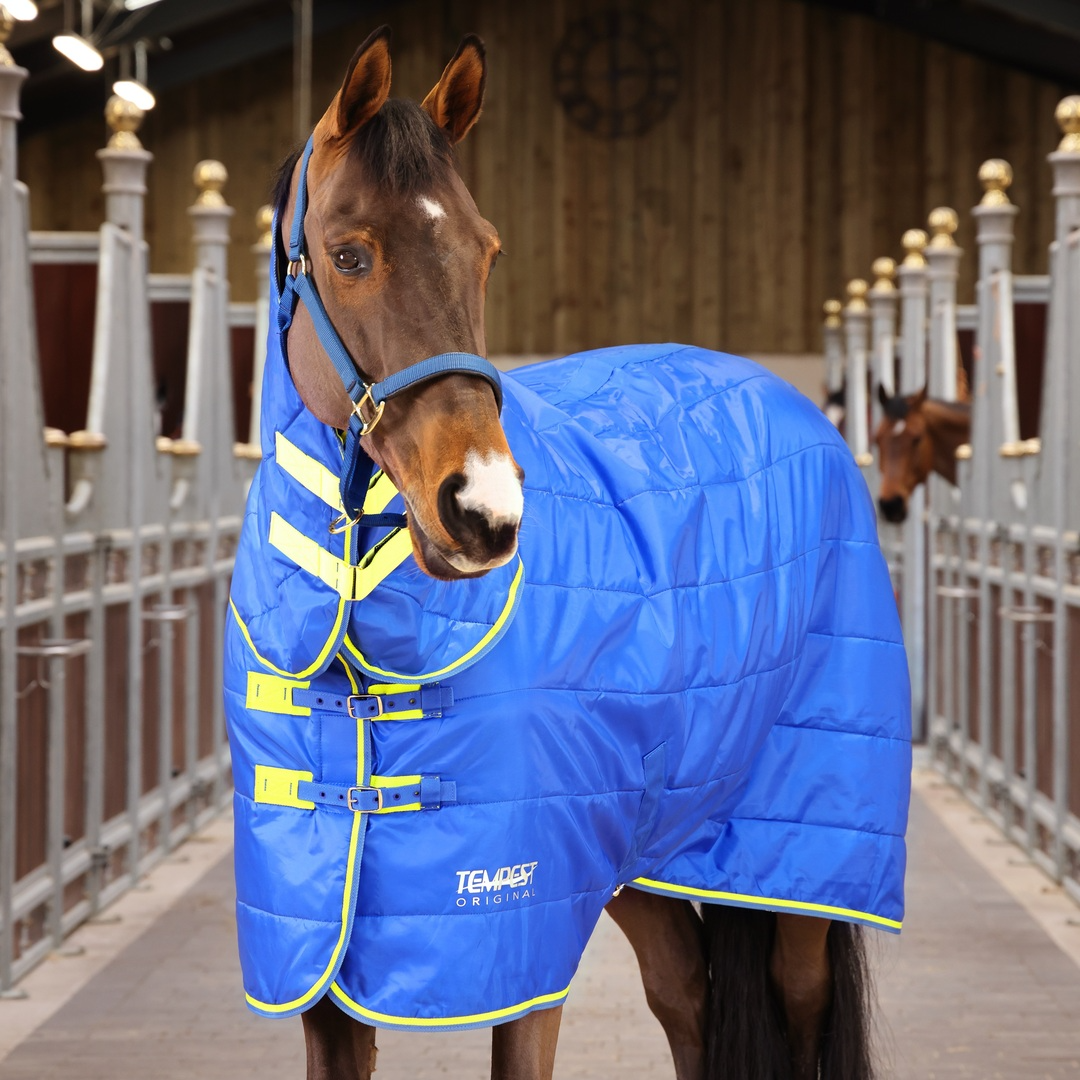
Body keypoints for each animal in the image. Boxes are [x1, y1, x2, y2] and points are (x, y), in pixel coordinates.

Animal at [224, 28, 910, 1080]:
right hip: (642, 848)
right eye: (348, 253)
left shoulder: (523, 939)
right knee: (687, 999)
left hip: (801, 852)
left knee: (795, 993)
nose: (482, 511)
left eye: (486, 250)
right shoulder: (321, 973)